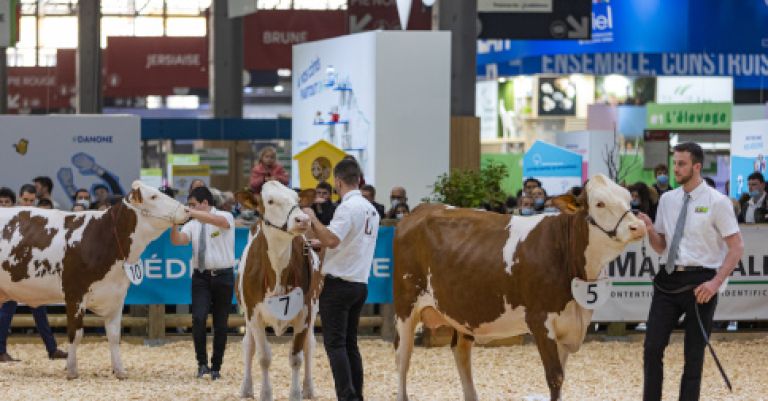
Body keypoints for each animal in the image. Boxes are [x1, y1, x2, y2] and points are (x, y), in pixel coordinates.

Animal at [0, 181, 189, 378]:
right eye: (153, 196)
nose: (187, 210)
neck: (104, 236)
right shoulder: (74, 293)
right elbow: (76, 334)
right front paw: (72, 370)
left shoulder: (117, 295)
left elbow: (114, 336)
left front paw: (119, 371)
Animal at [238, 182, 326, 400]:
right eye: (270, 201)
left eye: (297, 199)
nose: (303, 219)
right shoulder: (253, 314)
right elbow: (264, 357)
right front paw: (265, 394)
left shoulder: (304, 313)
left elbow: (296, 357)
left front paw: (295, 394)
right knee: (248, 345)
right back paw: (246, 388)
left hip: (314, 308)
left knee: (309, 345)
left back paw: (308, 388)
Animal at [392, 174, 644, 400]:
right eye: (599, 203)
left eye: (627, 198)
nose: (639, 226)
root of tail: (419, 210)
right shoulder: (540, 321)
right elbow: (555, 378)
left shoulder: (568, 326)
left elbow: (562, 377)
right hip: (405, 306)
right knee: (403, 356)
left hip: (462, 312)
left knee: (460, 352)